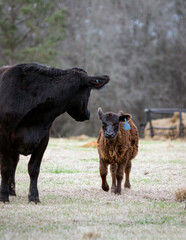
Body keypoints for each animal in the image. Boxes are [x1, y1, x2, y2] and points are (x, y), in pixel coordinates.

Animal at [0, 62, 109, 202]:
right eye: (88, 91)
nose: (88, 114)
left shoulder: (43, 137)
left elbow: (33, 168)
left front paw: (34, 197)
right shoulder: (4, 134)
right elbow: (6, 167)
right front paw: (3, 196)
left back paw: (12, 191)